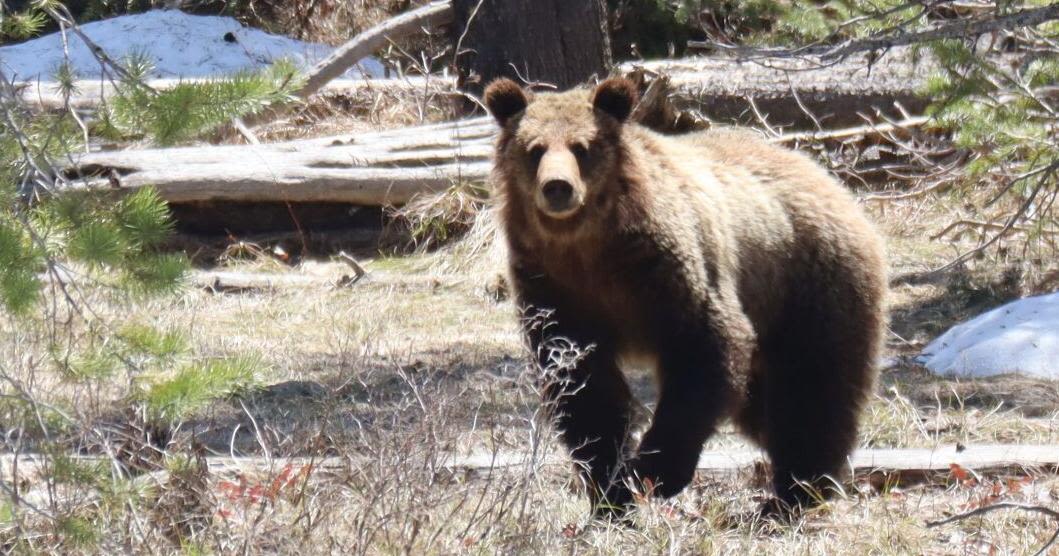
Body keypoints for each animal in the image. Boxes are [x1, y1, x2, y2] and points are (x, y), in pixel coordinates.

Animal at [485, 75, 889, 518]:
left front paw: (652, 471)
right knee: (766, 405)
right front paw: (610, 490)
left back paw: (800, 490)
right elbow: (583, 385)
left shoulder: (668, 270)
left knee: (811, 389)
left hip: (807, 285)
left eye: (582, 147)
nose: (558, 187)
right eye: (534, 149)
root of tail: (833, 183)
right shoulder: (556, 287)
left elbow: (705, 347)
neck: (590, 246)